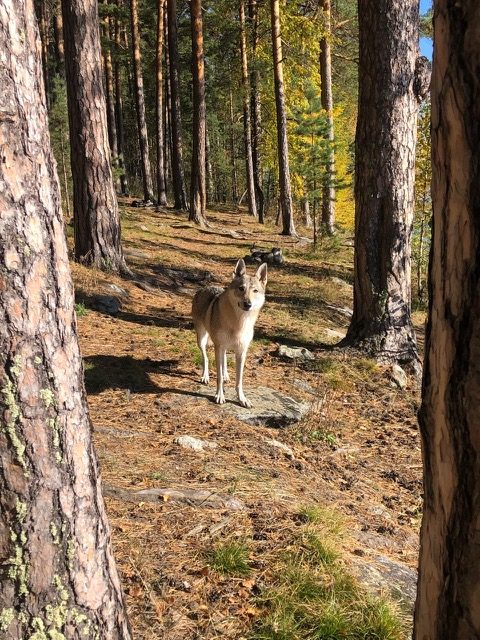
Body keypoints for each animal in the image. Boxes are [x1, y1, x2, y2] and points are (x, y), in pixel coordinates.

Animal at [192, 259, 267, 408]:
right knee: (206, 358)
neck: (239, 323)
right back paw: (205, 376)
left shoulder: (241, 352)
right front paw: (219, 396)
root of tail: (203, 288)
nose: (248, 304)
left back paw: (226, 375)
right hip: (202, 340)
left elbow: (239, 380)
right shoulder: (219, 347)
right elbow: (219, 377)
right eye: (241, 288)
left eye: (255, 291)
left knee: (224, 360)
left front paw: (242, 399)